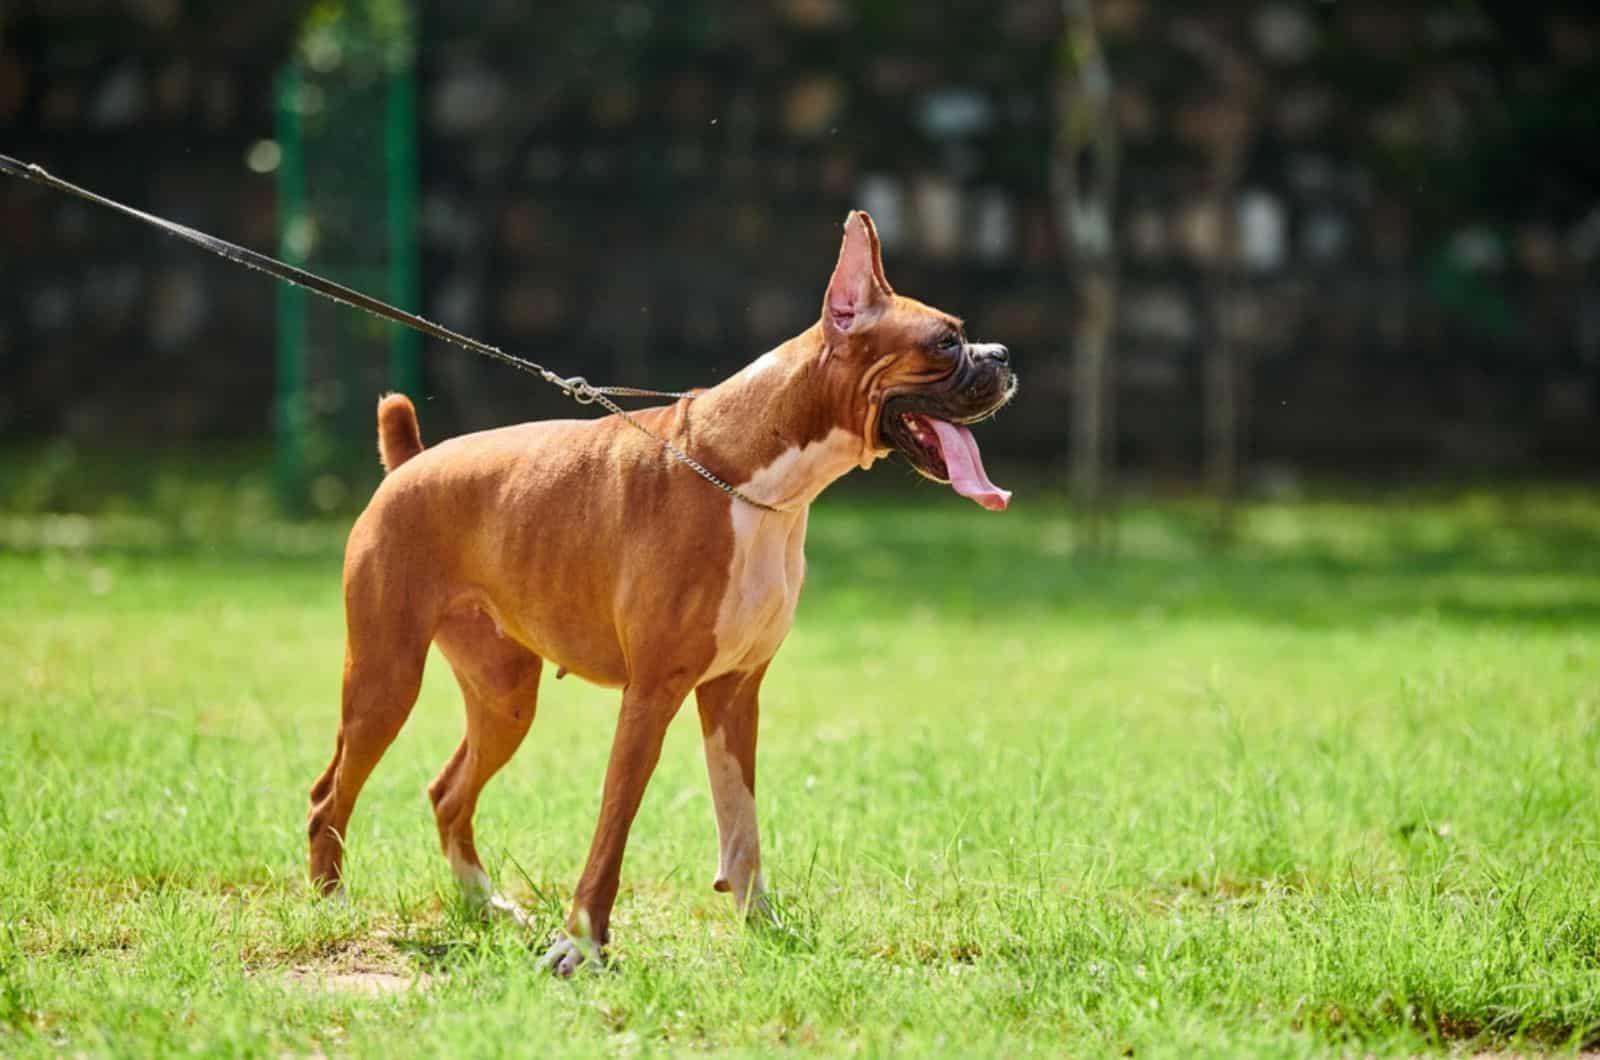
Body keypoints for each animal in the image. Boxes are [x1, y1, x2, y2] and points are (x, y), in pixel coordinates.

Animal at [302, 211, 1011, 973]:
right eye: (945, 341)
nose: (1002, 355)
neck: (752, 481)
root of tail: (411, 463)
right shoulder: (651, 695)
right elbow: (613, 825)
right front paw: (580, 943)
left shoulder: (733, 692)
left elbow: (742, 825)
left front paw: (762, 928)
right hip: (385, 680)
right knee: (329, 795)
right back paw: (333, 905)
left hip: (504, 698)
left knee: (446, 793)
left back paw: (485, 904)